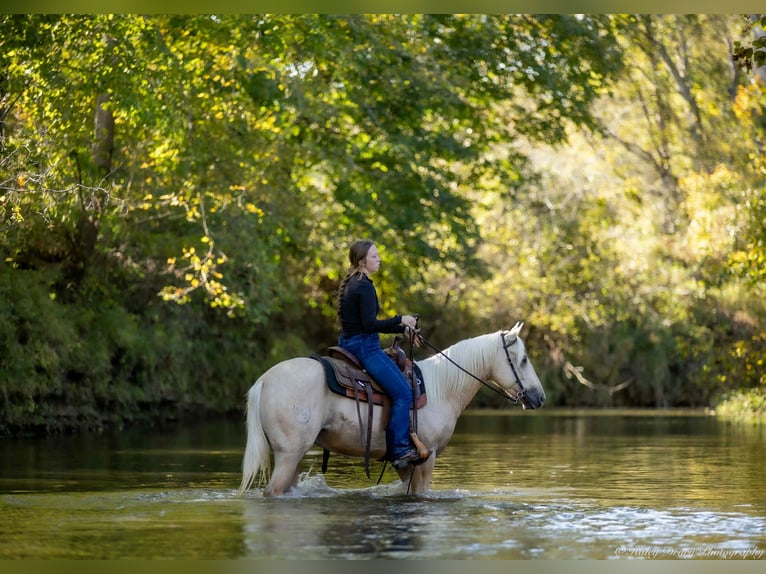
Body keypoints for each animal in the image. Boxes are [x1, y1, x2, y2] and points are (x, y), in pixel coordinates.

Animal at [237, 322, 546, 497]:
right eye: (524, 359)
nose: (540, 397)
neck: (441, 388)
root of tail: (264, 380)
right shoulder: (428, 454)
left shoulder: (404, 462)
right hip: (289, 454)